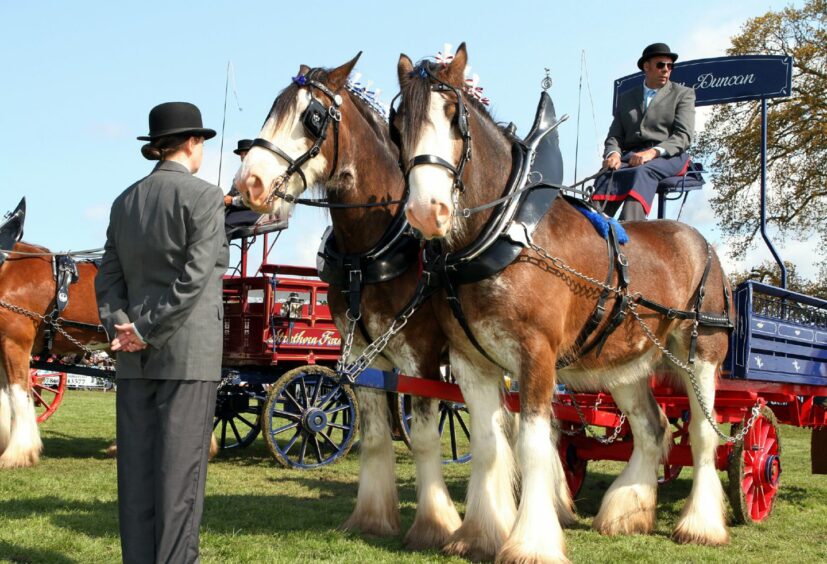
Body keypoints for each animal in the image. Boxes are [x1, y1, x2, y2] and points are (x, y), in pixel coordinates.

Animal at [233, 57, 544, 556]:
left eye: (312, 117)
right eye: (272, 109)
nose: (250, 182)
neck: (370, 250)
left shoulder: (421, 353)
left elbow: (424, 437)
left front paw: (434, 524)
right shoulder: (362, 355)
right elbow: (376, 436)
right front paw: (372, 518)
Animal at [394, 45, 732, 564]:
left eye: (453, 114)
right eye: (398, 125)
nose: (426, 211)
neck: (503, 235)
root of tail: (701, 243)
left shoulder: (536, 357)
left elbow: (534, 446)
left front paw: (531, 542)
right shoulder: (472, 363)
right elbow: (490, 445)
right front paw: (480, 534)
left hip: (700, 354)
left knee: (702, 434)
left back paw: (701, 525)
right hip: (626, 364)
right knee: (653, 429)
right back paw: (625, 512)